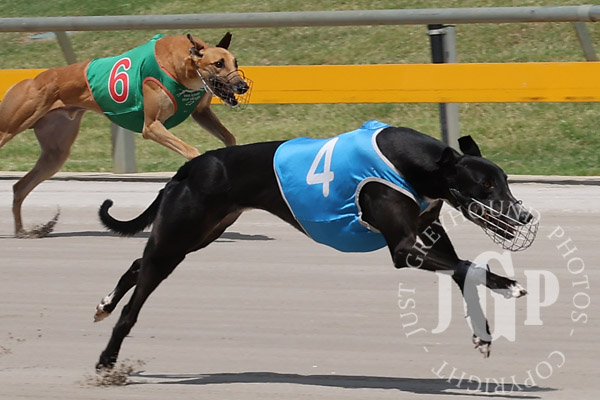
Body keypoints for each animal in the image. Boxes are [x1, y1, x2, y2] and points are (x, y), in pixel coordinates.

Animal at [0, 32, 251, 238]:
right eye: (218, 63)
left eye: (235, 62)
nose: (242, 86)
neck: (181, 66)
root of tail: (30, 80)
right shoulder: (151, 127)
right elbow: (191, 150)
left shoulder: (201, 113)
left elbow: (229, 138)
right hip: (9, 128)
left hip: (55, 154)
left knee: (19, 187)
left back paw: (24, 232)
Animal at [92, 120, 538, 370]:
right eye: (485, 184)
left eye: (505, 179)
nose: (523, 218)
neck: (413, 164)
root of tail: (192, 164)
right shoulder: (404, 249)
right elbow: (469, 266)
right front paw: (510, 286)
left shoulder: (427, 235)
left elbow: (463, 270)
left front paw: (483, 335)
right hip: (181, 234)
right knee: (135, 302)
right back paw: (107, 357)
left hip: (197, 234)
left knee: (138, 263)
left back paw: (105, 304)